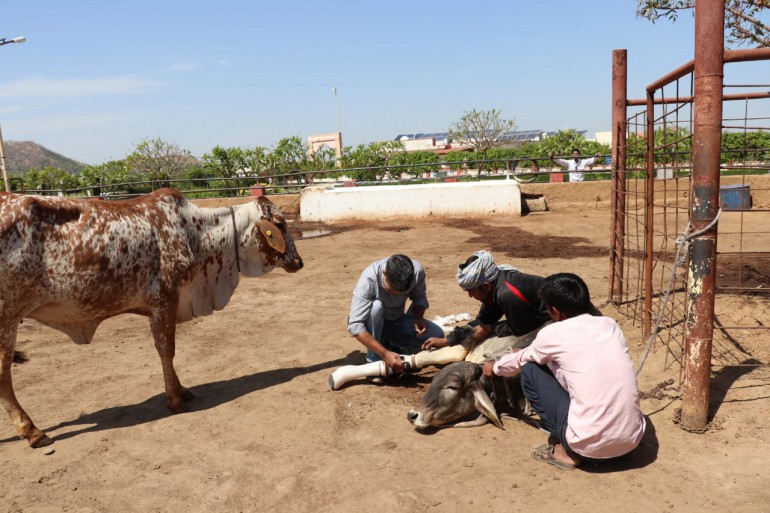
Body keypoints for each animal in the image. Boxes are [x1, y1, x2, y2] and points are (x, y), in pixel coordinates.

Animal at [0, 188, 303, 448]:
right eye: (279, 225)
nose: (298, 262)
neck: (197, 232)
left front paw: (182, 390)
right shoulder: (164, 300)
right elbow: (166, 350)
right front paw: (176, 399)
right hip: (7, 318)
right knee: (4, 375)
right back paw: (32, 431)